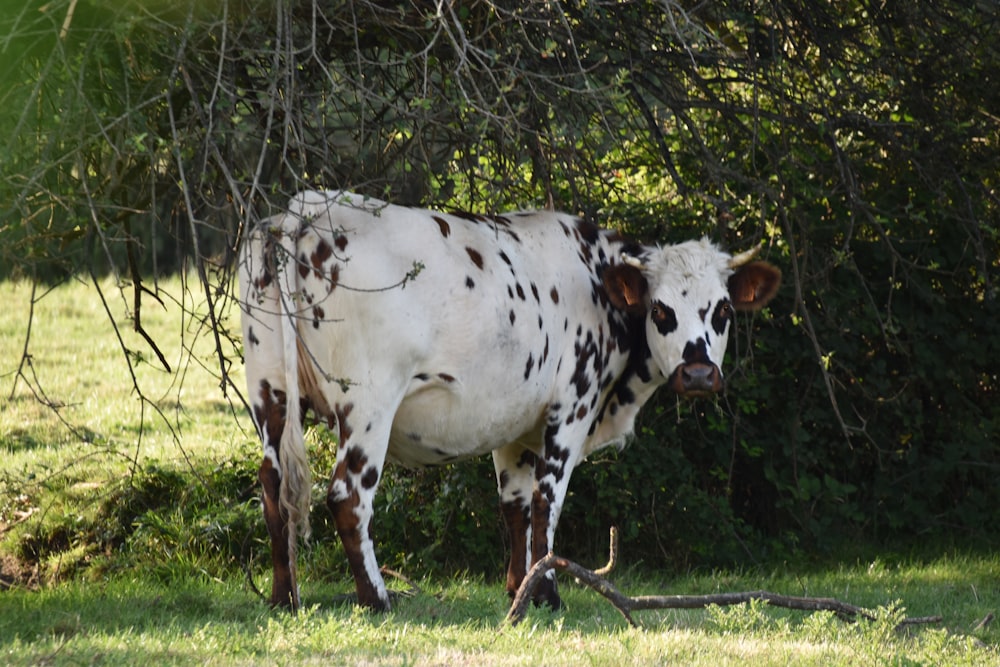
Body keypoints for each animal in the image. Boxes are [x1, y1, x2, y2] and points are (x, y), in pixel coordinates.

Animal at [236, 188, 780, 612]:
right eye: (661, 310)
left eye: (723, 309)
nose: (698, 373)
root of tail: (301, 211)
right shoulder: (571, 407)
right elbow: (547, 503)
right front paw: (550, 593)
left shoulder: (515, 425)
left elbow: (515, 507)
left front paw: (521, 588)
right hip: (369, 404)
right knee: (348, 496)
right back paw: (376, 599)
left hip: (268, 391)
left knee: (273, 488)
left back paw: (283, 598)